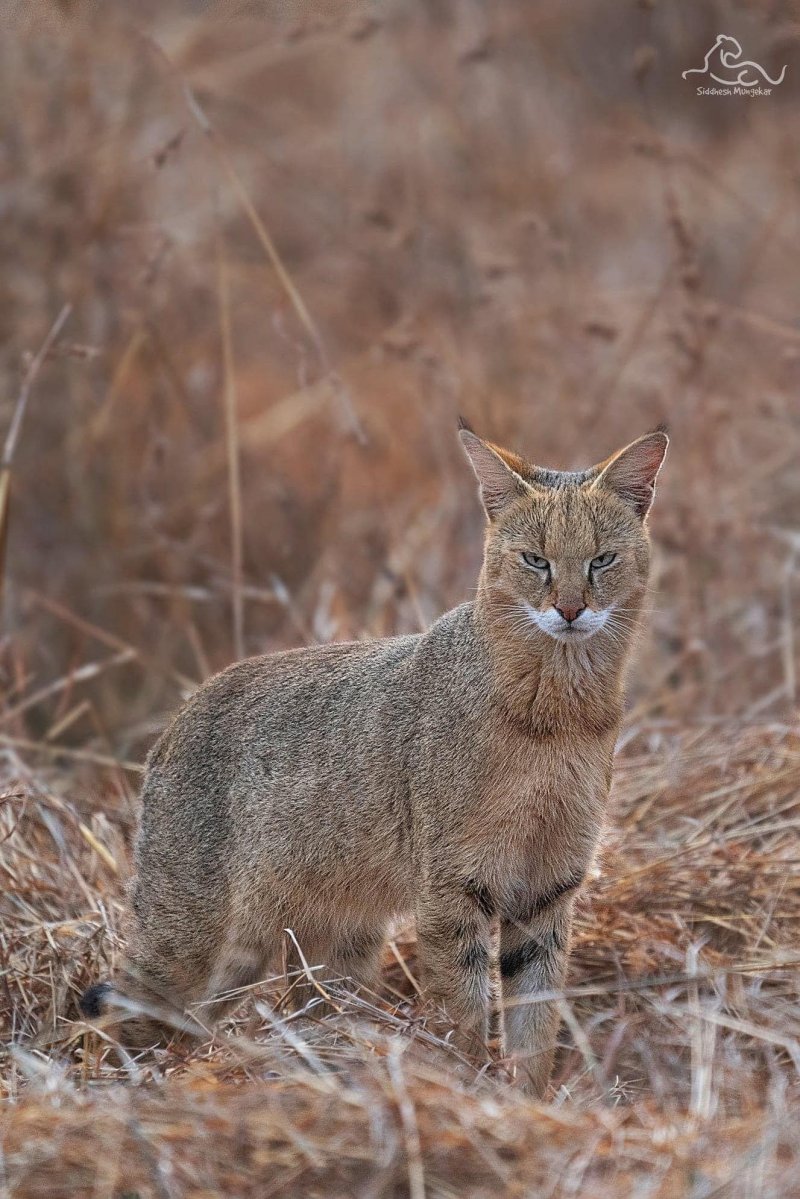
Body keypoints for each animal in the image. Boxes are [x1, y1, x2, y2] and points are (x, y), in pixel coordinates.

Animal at [82, 424, 671, 1098]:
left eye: (602, 560)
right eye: (535, 561)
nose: (570, 609)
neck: (555, 721)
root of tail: (178, 715)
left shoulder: (546, 892)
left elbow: (535, 1030)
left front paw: (530, 1104)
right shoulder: (455, 887)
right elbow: (466, 1016)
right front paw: (468, 1093)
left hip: (331, 945)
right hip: (190, 939)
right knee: (123, 1009)